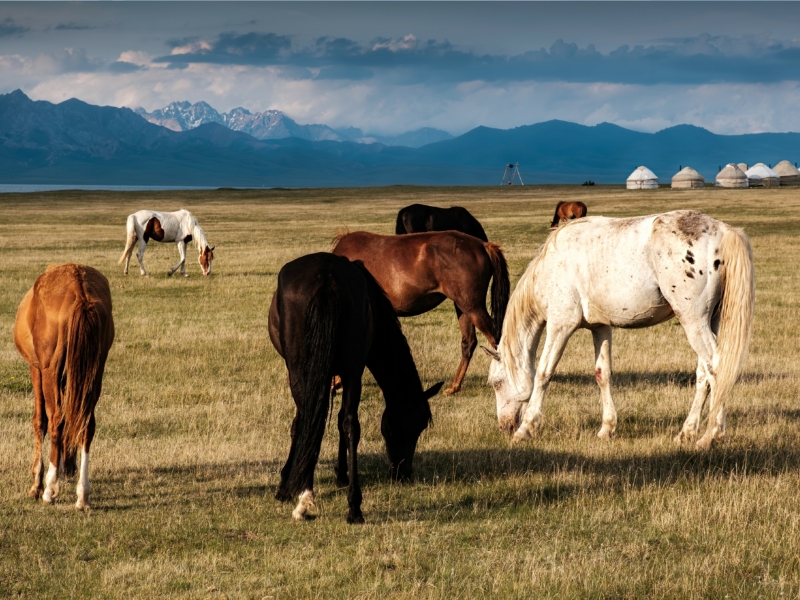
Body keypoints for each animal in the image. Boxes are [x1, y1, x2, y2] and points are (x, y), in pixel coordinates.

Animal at [12, 264, 114, 508]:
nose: (69, 468)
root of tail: (79, 289)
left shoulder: (37, 369)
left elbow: (40, 421)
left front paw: (37, 483)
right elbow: (73, 417)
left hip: (49, 369)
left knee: (56, 420)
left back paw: (50, 489)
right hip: (95, 368)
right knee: (86, 423)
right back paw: (83, 494)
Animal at [268, 251, 444, 524]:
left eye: (420, 428)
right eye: (407, 427)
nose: (403, 473)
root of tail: (327, 276)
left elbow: (303, 424)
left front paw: (288, 483)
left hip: (303, 371)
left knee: (315, 420)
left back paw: (307, 496)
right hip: (350, 372)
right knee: (349, 424)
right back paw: (353, 507)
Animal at [484, 211, 752, 450]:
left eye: (496, 383)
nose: (504, 426)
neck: (551, 266)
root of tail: (723, 230)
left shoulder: (560, 325)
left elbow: (543, 373)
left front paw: (525, 429)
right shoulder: (600, 327)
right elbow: (603, 374)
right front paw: (607, 428)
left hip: (693, 321)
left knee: (717, 368)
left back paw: (711, 436)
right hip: (708, 322)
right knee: (704, 375)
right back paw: (686, 433)